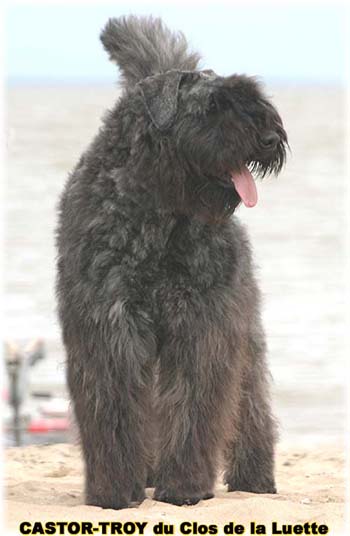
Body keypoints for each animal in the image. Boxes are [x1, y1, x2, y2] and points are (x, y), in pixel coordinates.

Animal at [55, 15, 288, 510]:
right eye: (213, 105)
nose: (269, 137)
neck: (158, 212)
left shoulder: (202, 325)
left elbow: (194, 406)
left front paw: (184, 488)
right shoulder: (110, 325)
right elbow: (116, 408)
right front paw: (114, 491)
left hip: (246, 333)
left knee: (251, 404)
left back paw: (255, 478)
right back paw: (146, 473)